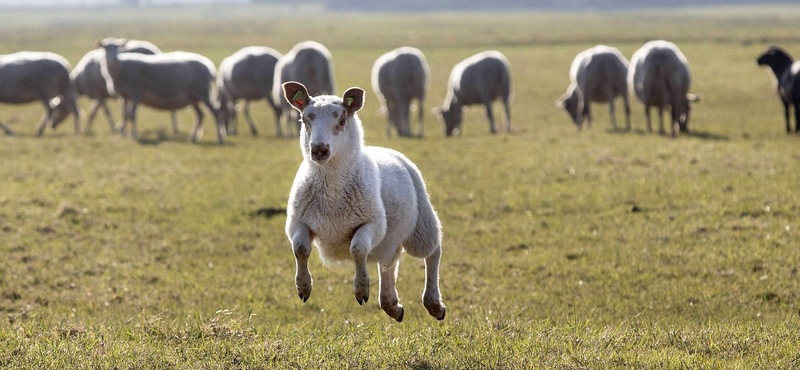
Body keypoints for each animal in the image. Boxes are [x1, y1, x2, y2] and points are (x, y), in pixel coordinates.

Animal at [282, 80, 446, 320]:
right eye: (304, 120)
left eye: (342, 120)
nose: (319, 150)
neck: (331, 192)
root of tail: (387, 150)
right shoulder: (297, 221)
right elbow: (300, 248)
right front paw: (303, 287)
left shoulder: (374, 223)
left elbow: (357, 249)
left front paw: (361, 289)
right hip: (389, 240)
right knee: (389, 265)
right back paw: (392, 306)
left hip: (421, 224)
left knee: (433, 252)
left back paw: (434, 304)